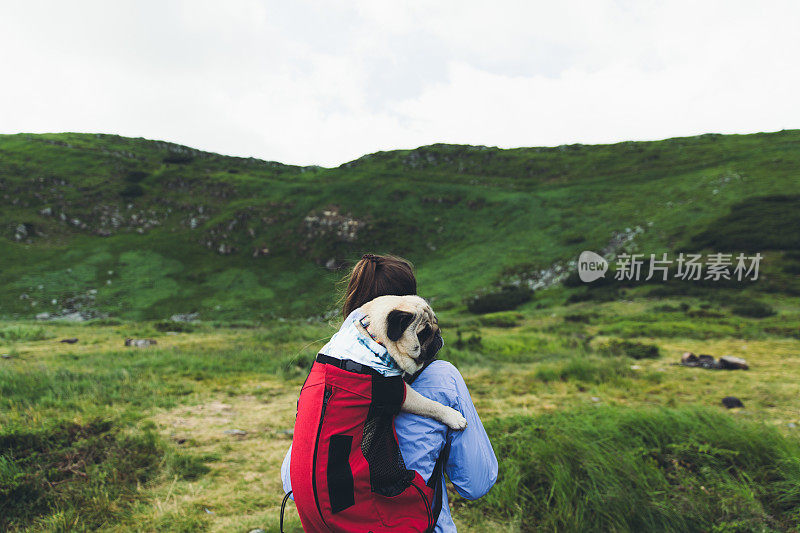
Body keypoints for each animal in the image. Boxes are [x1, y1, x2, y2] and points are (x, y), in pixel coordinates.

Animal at [358, 294, 468, 430]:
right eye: (423, 333)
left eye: (436, 323)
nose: (438, 334)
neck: (375, 338)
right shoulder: (402, 394)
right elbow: (430, 404)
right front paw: (453, 416)